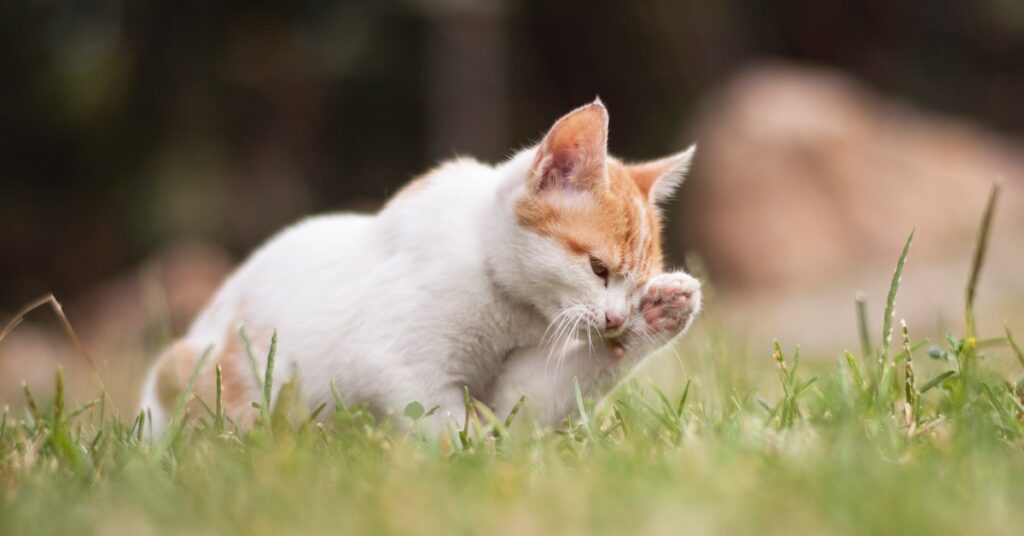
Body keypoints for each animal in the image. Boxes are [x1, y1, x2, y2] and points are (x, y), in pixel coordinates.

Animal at [140, 99, 700, 436]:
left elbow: (531, 405)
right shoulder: (391, 362)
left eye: (635, 286)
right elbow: (441, 420)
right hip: (201, 370)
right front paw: (472, 458)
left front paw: (658, 318)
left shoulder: (516, 391)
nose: (615, 318)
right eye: (598, 268)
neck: (507, 306)